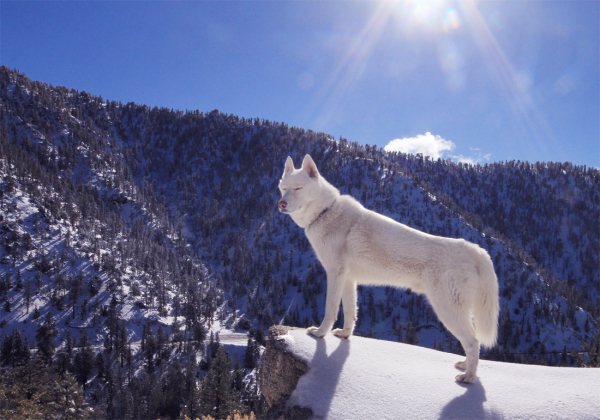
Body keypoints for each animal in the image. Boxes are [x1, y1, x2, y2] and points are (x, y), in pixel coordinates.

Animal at [278, 155, 500, 384]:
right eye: (283, 188)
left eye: (298, 188)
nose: (281, 204)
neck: (325, 212)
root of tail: (476, 250)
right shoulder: (348, 279)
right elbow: (350, 313)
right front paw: (344, 335)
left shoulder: (334, 274)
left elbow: (330, 311)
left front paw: (320, 334)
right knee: (473, 342)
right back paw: (464, 366)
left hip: (447, 310)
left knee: (473, 341)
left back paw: (467, 377)